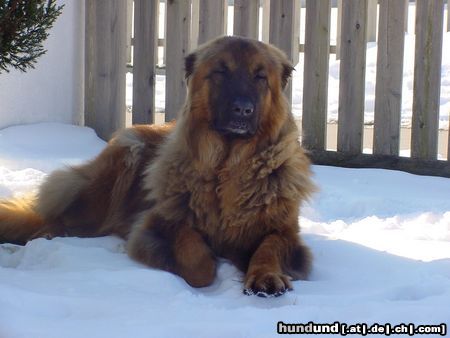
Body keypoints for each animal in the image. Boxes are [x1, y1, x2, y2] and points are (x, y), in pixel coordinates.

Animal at [0, 35, 314, 298]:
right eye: (221, 72)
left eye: (260, 77)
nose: (243, 109)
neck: (226, 166)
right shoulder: (160, 221)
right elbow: (196, 260)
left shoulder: (284, 230)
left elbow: (270, 246)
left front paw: (265, 275)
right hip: (124, 159)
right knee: (57, 219)